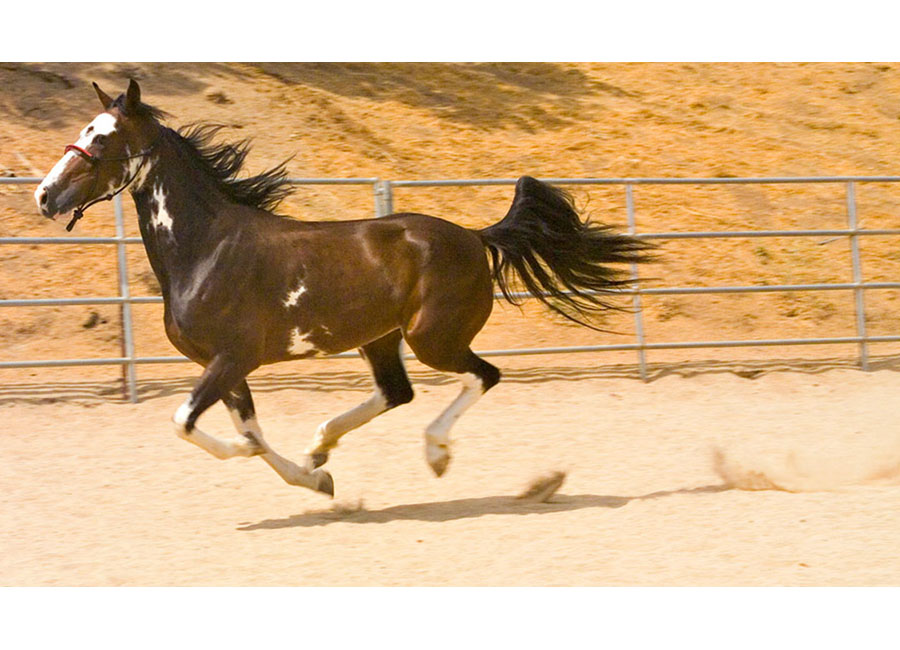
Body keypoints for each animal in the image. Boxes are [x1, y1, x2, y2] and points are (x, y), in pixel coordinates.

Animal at [34, 79, 654, 497]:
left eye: (103, 139)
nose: (45, 196)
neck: (205, 248)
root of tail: (476, 237)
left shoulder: (233, 358)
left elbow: (192, 424)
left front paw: (279, 462)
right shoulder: (221, 365)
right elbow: (249, 429)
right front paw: (315, 479)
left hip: (434, 338)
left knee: (483, 376)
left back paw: (436, 454)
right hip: (380, 338)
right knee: (397, 392)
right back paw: (321, 446)